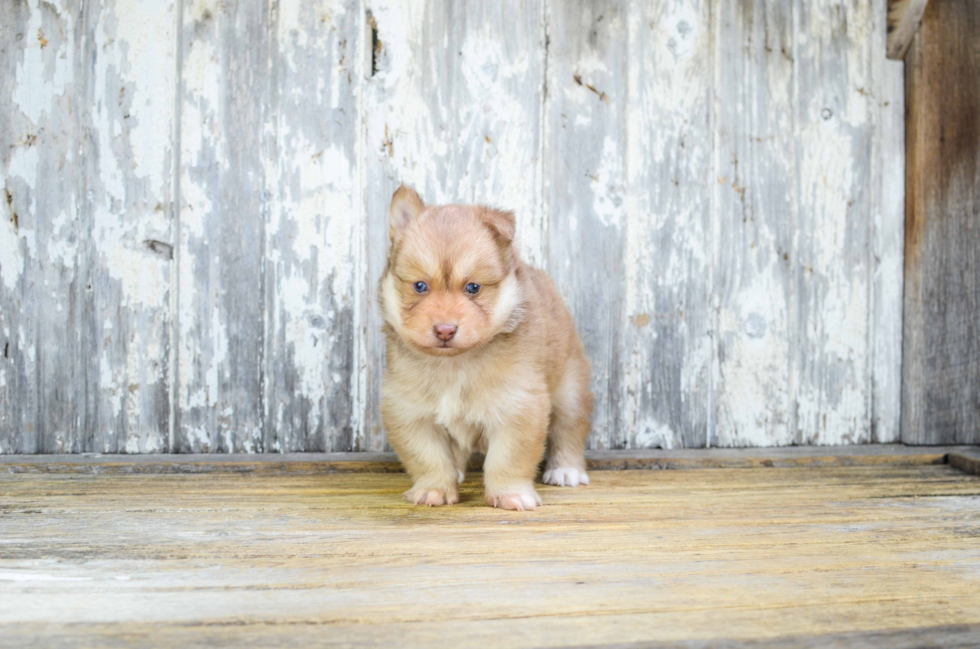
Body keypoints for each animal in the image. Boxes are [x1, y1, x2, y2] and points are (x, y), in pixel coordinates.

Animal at [378, 185, 592, 508]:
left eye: (473, 288)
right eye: (420, 286)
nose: (444, 330)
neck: (455, 363)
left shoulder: (519, 406)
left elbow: (509, 459)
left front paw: (511, 493)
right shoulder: (409, 411)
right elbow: (428, 458)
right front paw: (434, 489)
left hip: (571, 389)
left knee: (569, 430)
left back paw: (566, 470)